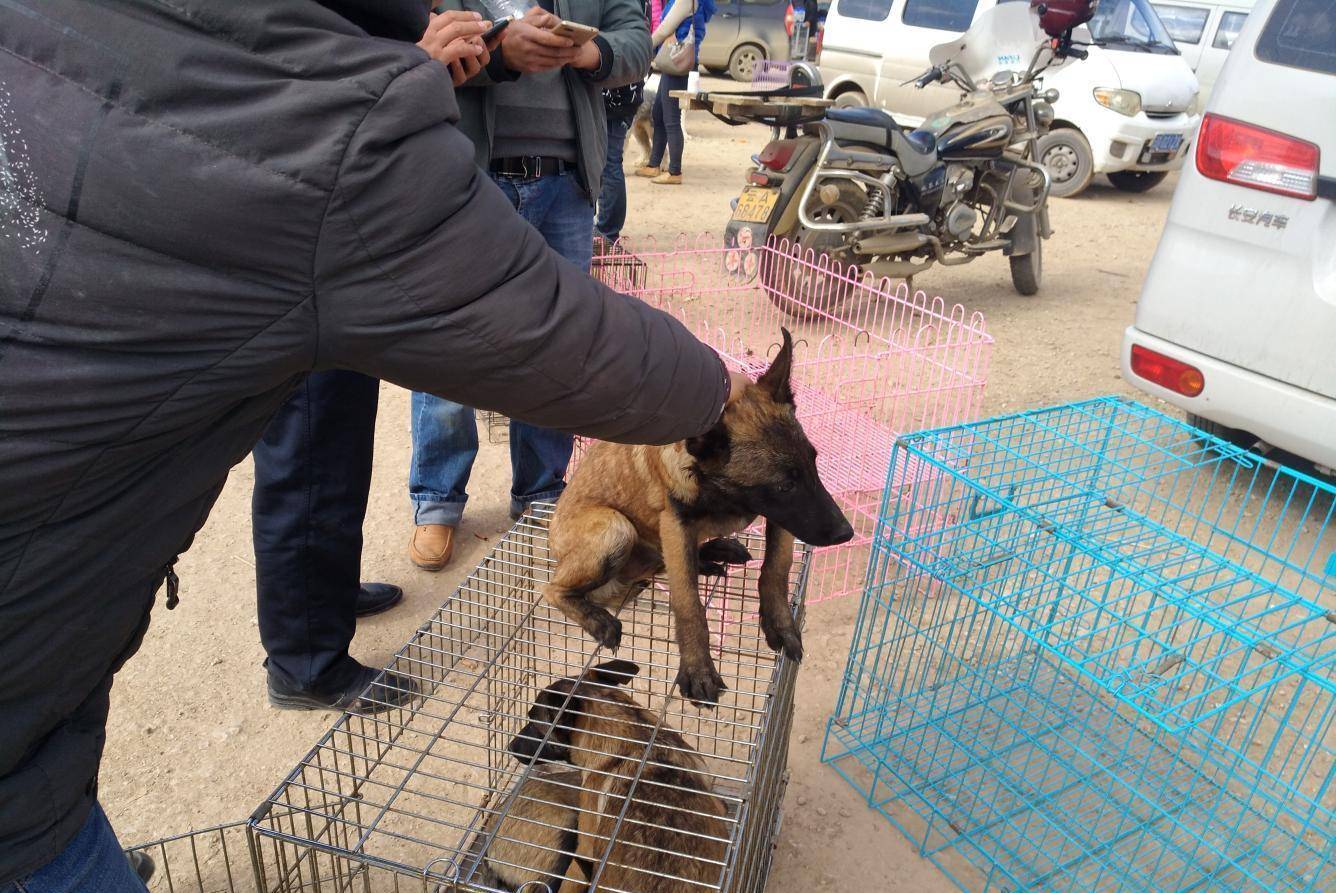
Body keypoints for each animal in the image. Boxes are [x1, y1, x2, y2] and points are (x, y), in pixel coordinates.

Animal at [539, 327, 844, 705]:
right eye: (784, 485)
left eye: (813, 463)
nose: (845, 532)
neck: (721, 490)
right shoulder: (676, 522)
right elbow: (688, 604)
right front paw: (698, 669)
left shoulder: (783, 518)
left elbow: (776, 567)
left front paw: (781, 624)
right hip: (615, 528)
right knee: (553, 589)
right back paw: (598, 619)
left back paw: (711, 552)